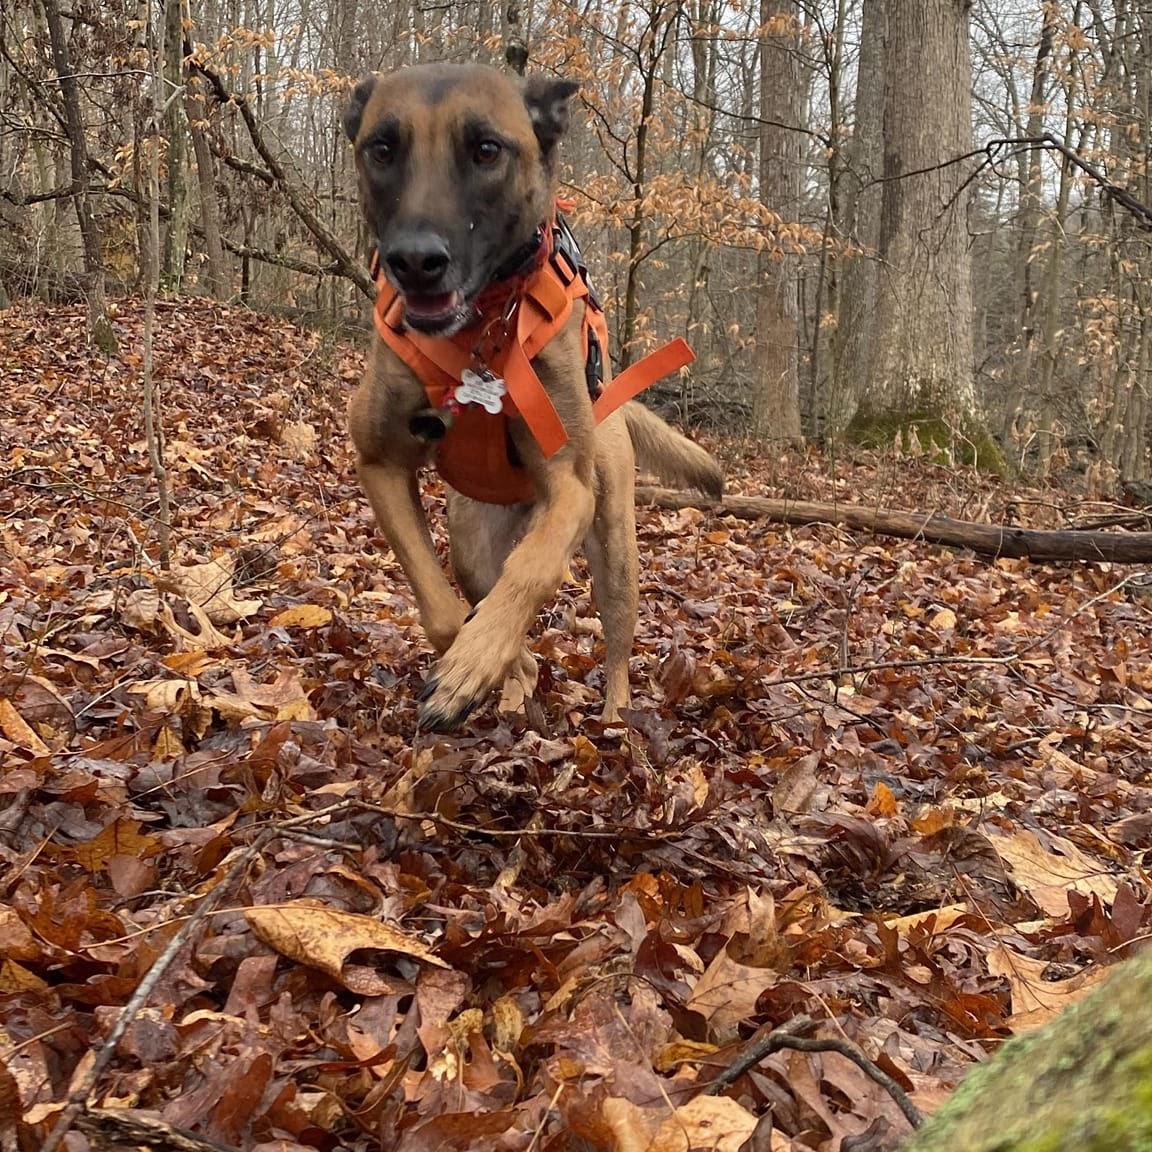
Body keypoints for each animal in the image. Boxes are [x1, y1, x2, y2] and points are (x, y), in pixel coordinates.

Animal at [338, 63, 718, 728]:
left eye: (487, 150)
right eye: (381, 149)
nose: (415, 261)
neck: (483, 332)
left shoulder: (569, 487)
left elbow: (533, 569)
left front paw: (474, 661)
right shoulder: (379, 464)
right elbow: (441, 610)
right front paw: (478, 661)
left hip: (614, 547)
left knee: (618, 646)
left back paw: (614, 719)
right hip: (471, 541)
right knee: (495, 602)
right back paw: (516, 685)